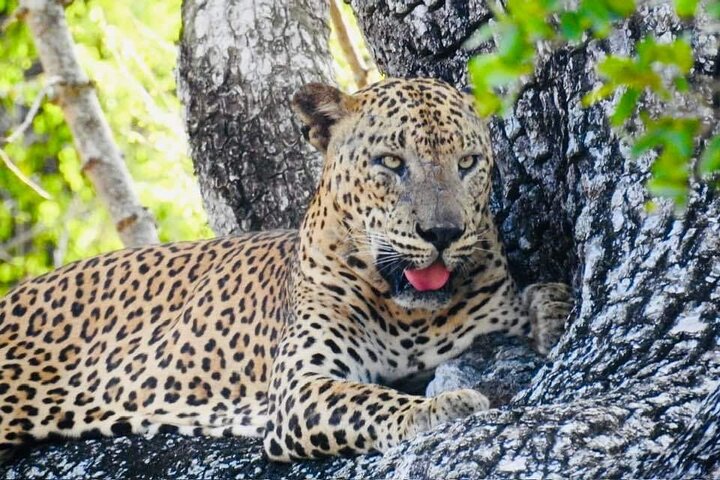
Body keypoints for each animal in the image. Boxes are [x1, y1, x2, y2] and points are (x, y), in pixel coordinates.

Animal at [0, 77, 572, 462]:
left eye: (468, 163)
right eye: (391, 162)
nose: (443, 233)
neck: (409, 315)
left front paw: (553, 307)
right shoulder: (301, 386)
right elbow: (371, 400)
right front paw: (442, 407)